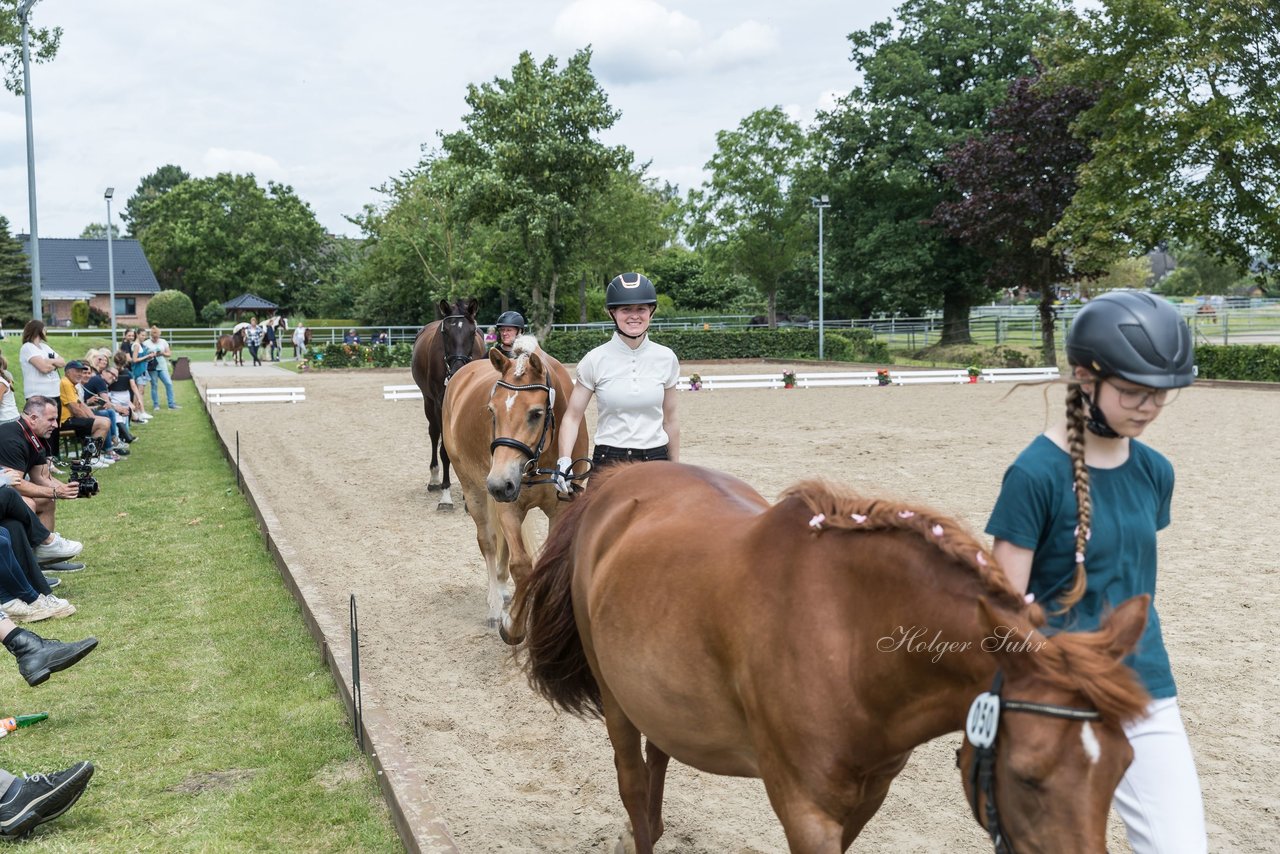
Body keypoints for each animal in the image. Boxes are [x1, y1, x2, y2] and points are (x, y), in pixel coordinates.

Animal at [409, 300, 483, 512]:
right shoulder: (439, 405)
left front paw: (468, 498)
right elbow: (444, 451)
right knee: (434, 434)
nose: (458, 370)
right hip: (428, 402)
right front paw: (446, 496)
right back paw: (434, 479)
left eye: (472, 332)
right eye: (446, 332)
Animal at [440, 338, 588, 632]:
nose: (499, 484)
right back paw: (495, 605)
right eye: (491, 411)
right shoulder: (507, 504)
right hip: (474, 489)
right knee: (488, 541)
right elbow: (520, 565)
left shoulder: (561, 508)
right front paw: (515, 624)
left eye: (536, 413)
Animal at [509, 460, 1152, 854]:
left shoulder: (866, 799)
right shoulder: (805, 809)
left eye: (1124, 768)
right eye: (1027, 776)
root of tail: (613, 484)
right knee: (633, 782)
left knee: (658, 760)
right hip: (616, 699)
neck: (850, 641)